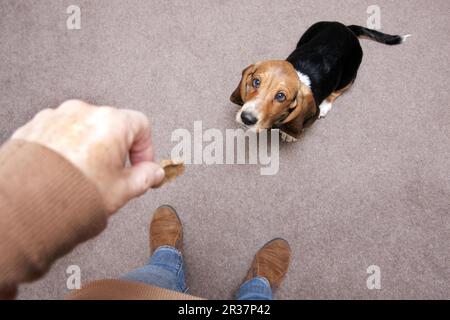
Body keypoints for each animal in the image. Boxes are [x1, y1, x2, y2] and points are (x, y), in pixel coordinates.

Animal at [230, 21, 410, 142]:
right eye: (256, 82)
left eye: (281, 96)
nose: (247, 118)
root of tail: (347, 28)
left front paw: (289, 134)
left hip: (349, 76)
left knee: (338, 91)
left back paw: (325, 106)